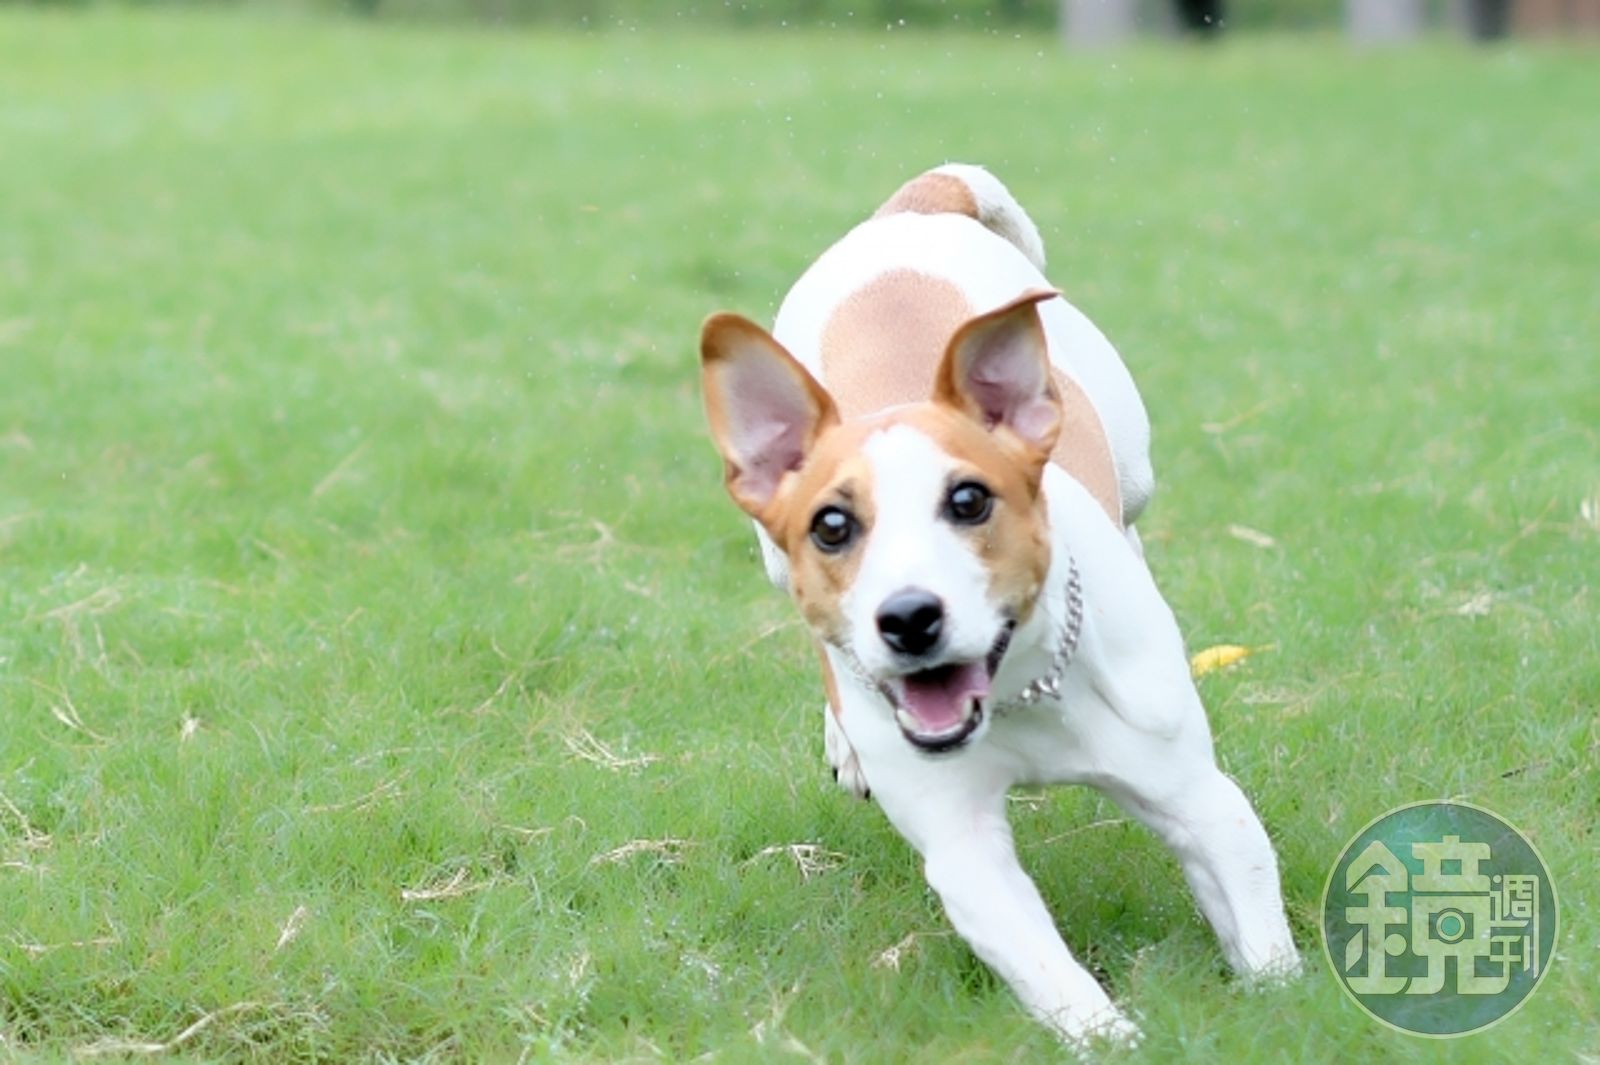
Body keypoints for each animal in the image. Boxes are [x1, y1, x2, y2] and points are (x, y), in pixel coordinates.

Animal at [698, 164, 1299, 1044]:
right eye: (833, 525)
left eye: (970, 500)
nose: (908, 618)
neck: (1020, 690)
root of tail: (912, 209)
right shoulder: (964, 848)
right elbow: (1042, 961)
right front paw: (1113, 1037)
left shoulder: (1199, 797)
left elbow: (1257, 924)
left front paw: (1281, 1004)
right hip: (775, 563)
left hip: (1132, 457)